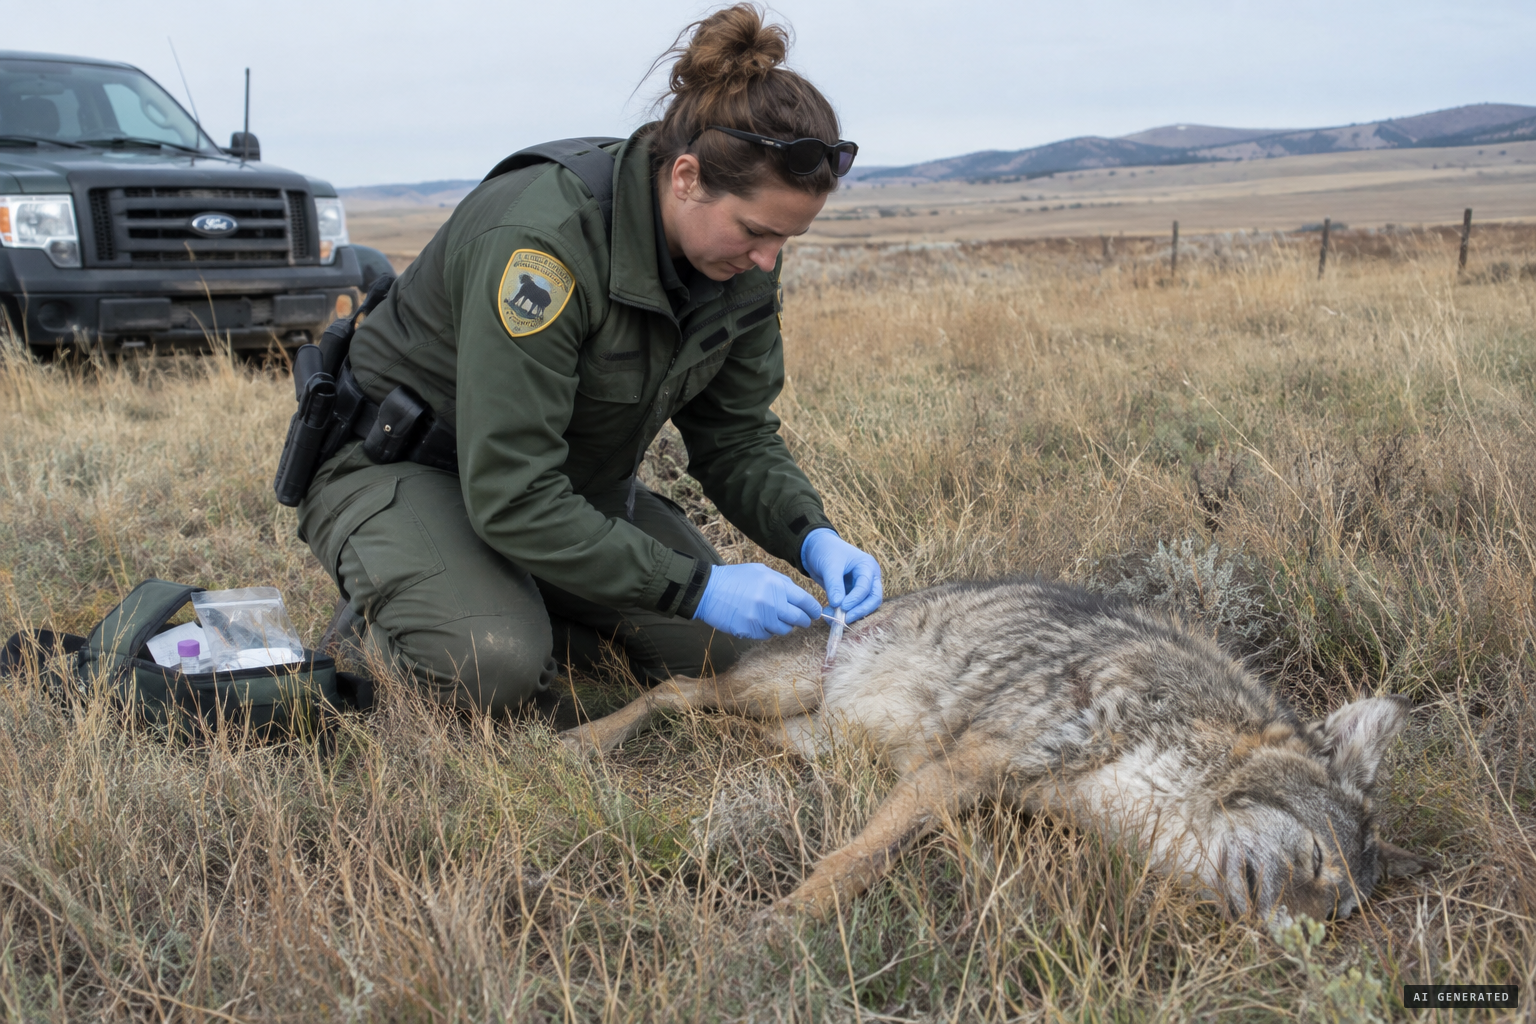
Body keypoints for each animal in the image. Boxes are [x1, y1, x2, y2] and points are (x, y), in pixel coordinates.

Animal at [562, 578, 1434, 922]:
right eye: (1316, 861)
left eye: (1340, 913)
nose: (1303, 942)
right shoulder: (962, 766)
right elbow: (856, 859)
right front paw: (790, 919)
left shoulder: (979, 790)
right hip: (777, 689)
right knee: (675, 689)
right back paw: (583, 741)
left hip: (808, 741)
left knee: (721, 725)